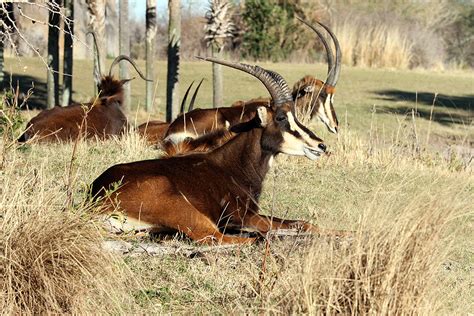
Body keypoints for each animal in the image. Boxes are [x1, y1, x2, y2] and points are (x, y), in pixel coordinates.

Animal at [90, 56, 348, 244]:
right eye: (282, 118)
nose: (320, 145)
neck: (233, 165)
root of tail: (96, 194)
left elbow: (303, 223)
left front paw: (344, 232)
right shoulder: (244, 215)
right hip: (185, 209)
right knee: (217, 237)